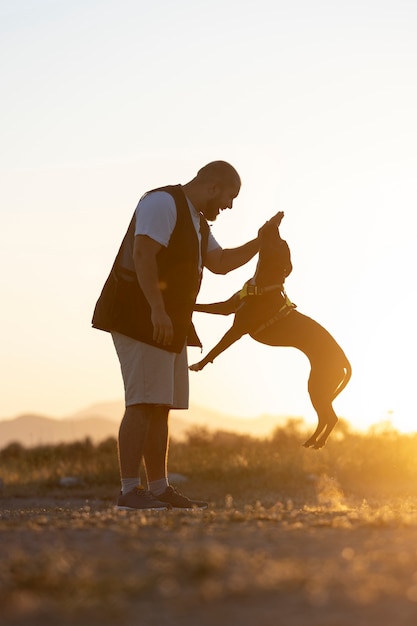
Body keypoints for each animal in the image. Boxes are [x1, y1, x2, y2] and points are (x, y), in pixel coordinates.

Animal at [190, 212, 350, 446]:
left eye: (281, 243)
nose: (280, 215)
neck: (263, 282)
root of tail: (344, 360)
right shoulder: (227, 308)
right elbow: (202, 306)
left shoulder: (237, 329)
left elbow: (216, 349)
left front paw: (199, 364)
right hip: (320, 388)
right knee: (326, 416)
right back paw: (312, 441)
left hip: (317, 385)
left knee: (331, 416)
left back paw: (317, 442)